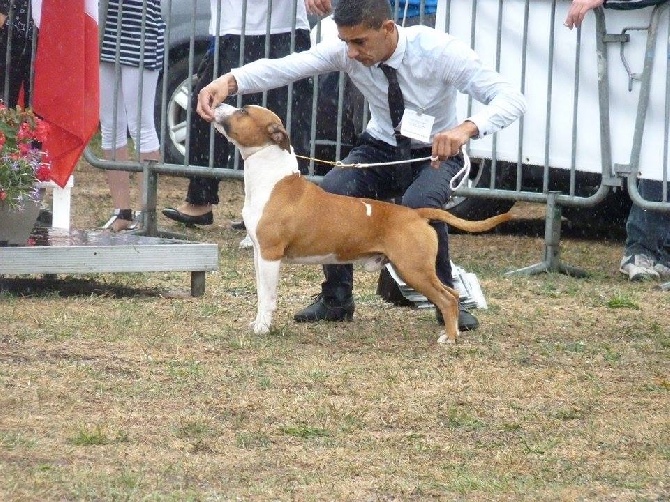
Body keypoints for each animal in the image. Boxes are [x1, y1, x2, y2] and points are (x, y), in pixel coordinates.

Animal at [213, 103, 512, 344]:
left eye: (243, 112)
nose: (217, 104)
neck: (272, 179)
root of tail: (415, 214)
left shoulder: (270, 255)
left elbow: (268, 296)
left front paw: (263, 328)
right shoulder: (259, 254)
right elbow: (261, 293)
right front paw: (257, 323)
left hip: (413, 268)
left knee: (448, 297)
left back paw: (449, 338)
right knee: (451, 294)